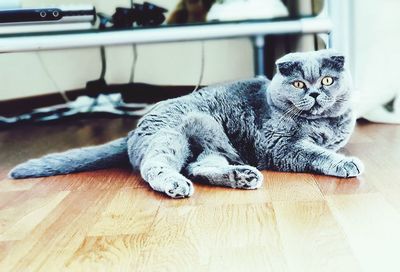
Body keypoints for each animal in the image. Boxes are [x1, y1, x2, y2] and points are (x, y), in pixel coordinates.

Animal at [8, 49, 366, 198]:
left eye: (327, 80)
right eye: (299, 84)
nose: (316, 93)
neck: (322, 123)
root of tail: (133, 131)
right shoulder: (278, 145)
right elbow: (316, 153)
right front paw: (346, 163)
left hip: (213, 145)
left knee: (200, 167)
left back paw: (242, 177)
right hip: (173, 136)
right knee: (155, 166)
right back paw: (175, 185)